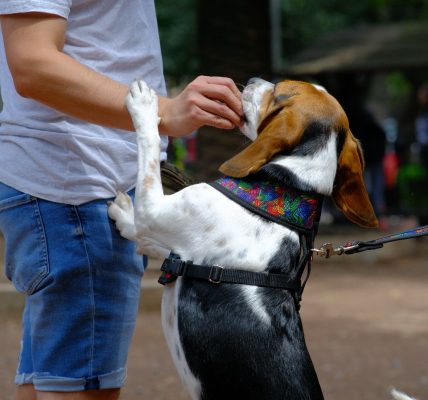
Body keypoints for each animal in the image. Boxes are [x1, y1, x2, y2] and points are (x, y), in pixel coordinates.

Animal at [109, 78, 378, 400]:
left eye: (278, 90)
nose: (251, 81)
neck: (288, 186)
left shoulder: (154, 210)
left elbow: (148, 157)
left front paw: (144, 105)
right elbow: (152, 241)